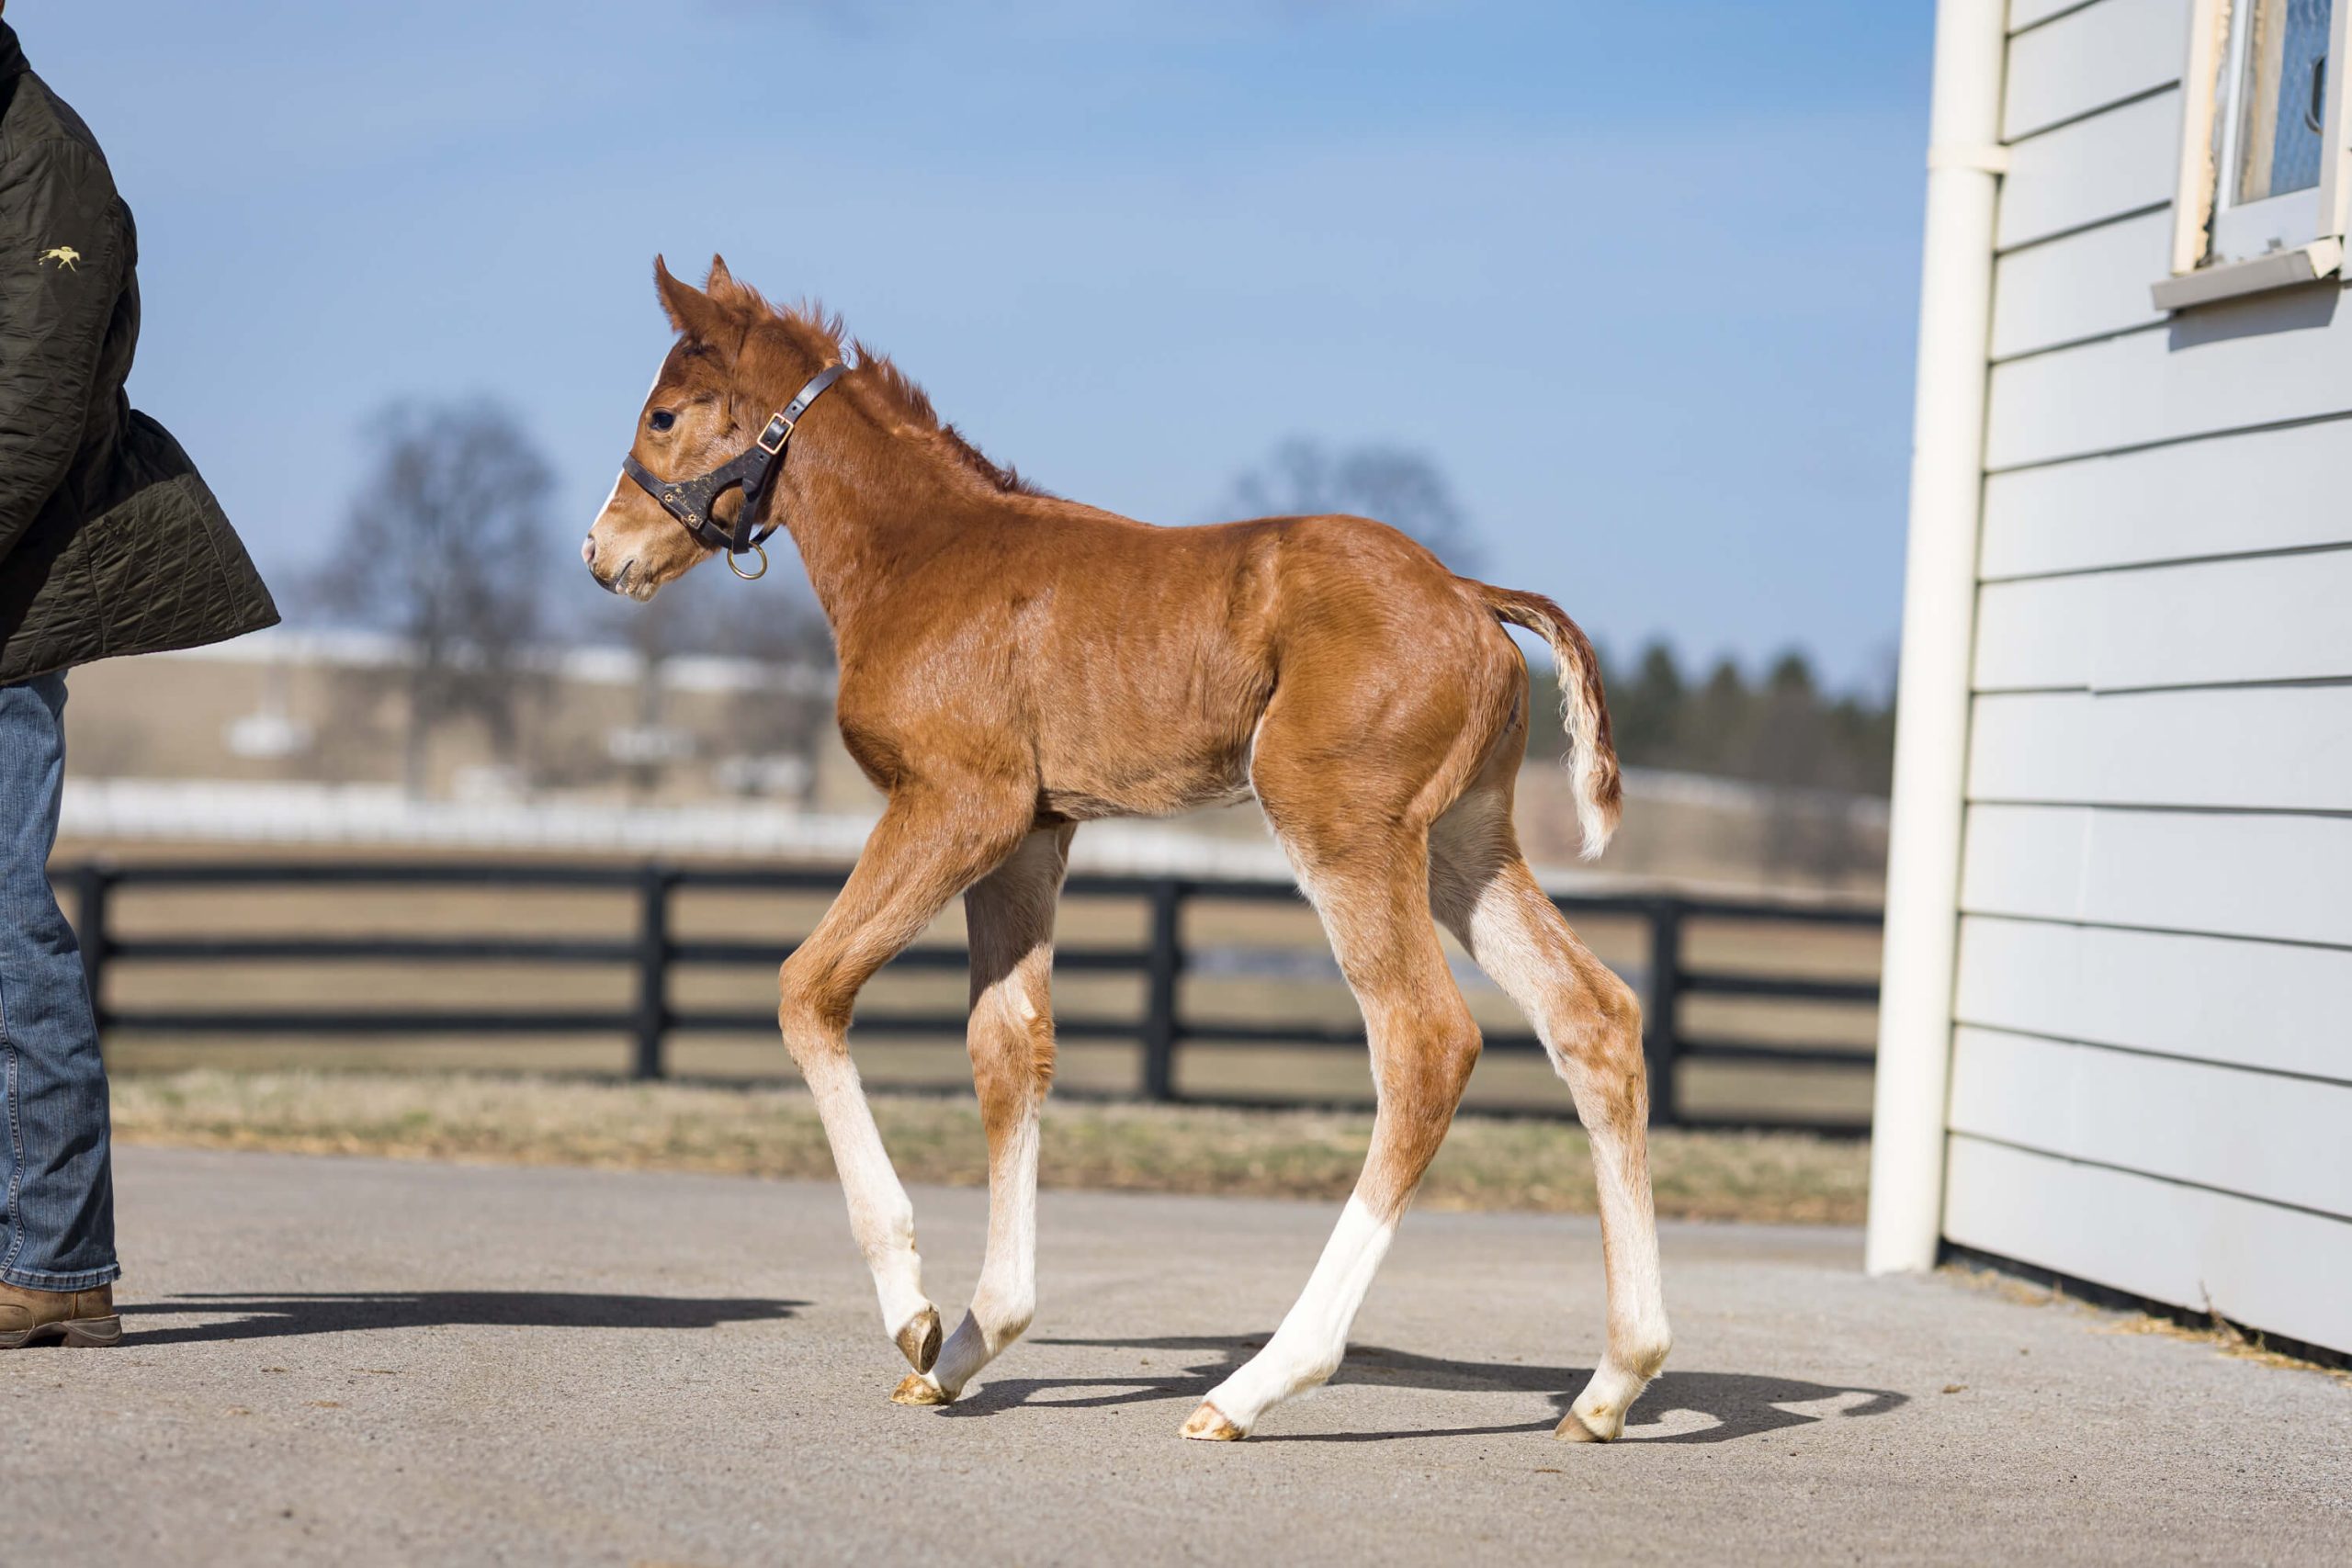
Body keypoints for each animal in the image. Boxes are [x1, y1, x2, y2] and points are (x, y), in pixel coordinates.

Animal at [588, 257, 1674, 1448]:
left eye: (663, 415)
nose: (602, 553)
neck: (923, 555)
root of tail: (1472, 597)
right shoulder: (1029, 834)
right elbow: (1010, 1049)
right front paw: (972, 1344)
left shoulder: (955, 806)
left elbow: (807, 988)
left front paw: (913, 1313)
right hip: (1464, 846)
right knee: (1591, 1016)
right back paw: (1613, 1382)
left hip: (1342, 826)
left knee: (1425, 1042)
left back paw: (1255, 1386)